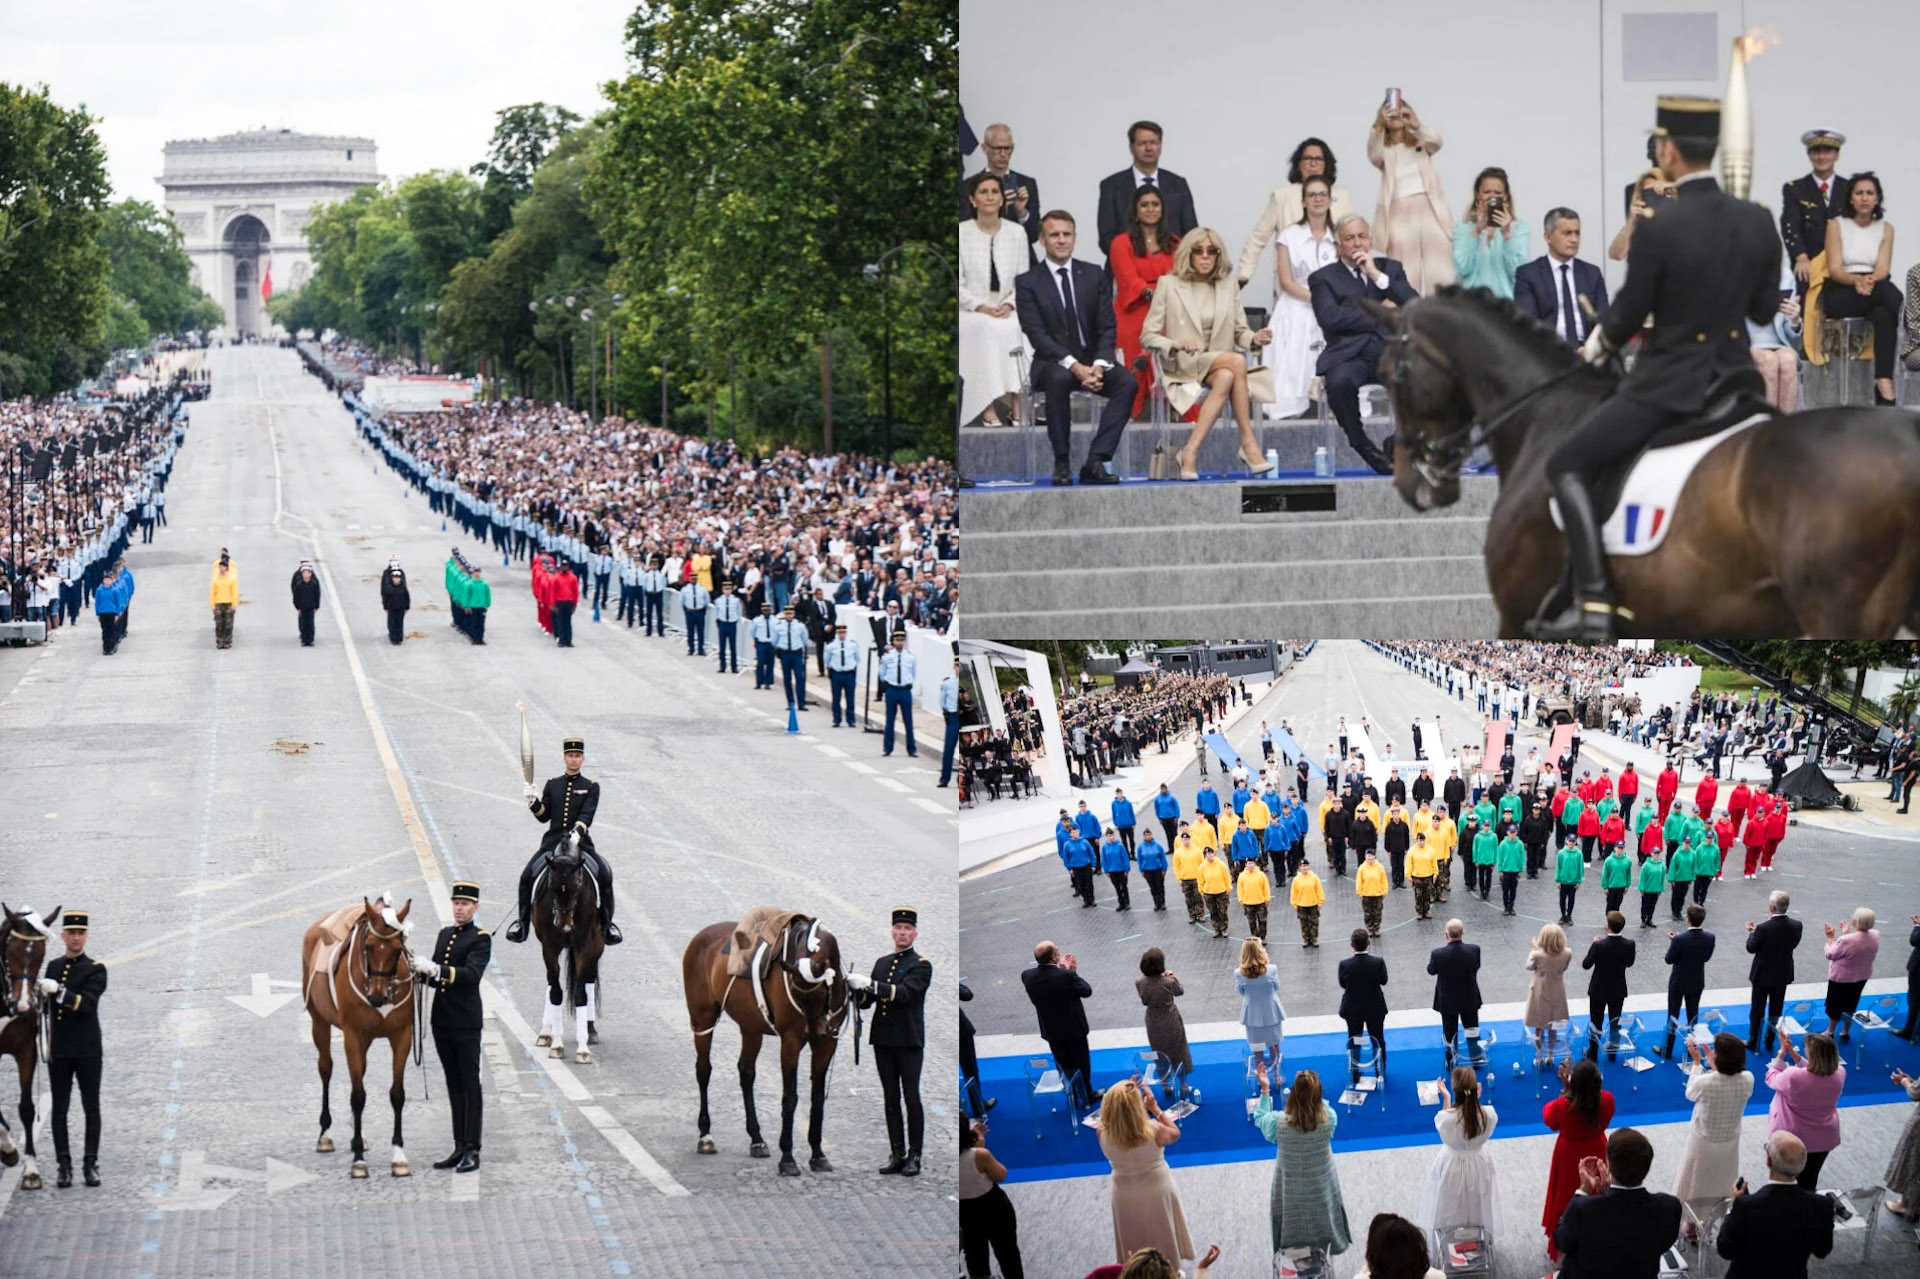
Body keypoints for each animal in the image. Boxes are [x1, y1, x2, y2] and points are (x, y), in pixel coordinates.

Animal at [301, 887, 418, 1175]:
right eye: (368, 946)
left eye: (397, 950)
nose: (376, 997)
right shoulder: (352, 1035)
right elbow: (358, 1095)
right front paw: (358, 1160)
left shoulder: (403, 1035)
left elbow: (397, 1094)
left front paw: (398, 1155)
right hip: (319, 1023)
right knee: (326, 1069)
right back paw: (325, 1135)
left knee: (361, 1072)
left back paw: (359, 1134)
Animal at [533, 833, 599, 1060]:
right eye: (552, 887)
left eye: (576, 887)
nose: (564, 924)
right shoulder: (549, 946)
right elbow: (555, 991)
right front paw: (557, 1044)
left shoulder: (584, 946)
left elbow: (580, 994)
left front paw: (583, 1048)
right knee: (551, 983)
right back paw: (546, 1032)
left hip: (597, 947)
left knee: (588, 981)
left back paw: (591, 1030)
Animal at [683, 910, 848, 1167]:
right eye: (798, 995)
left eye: (822, 991)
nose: (816, 1030)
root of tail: (702, 935)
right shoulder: (790, 1041)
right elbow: (790, 1097)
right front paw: (788, 1158)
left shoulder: (828, 1043)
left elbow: (818, 1098)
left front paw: (817, 1153)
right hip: (703, 1019)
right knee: (703, 1070)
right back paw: (705, 1135)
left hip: (751, 1027)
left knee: (746, 1072)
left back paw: (757, 1138)